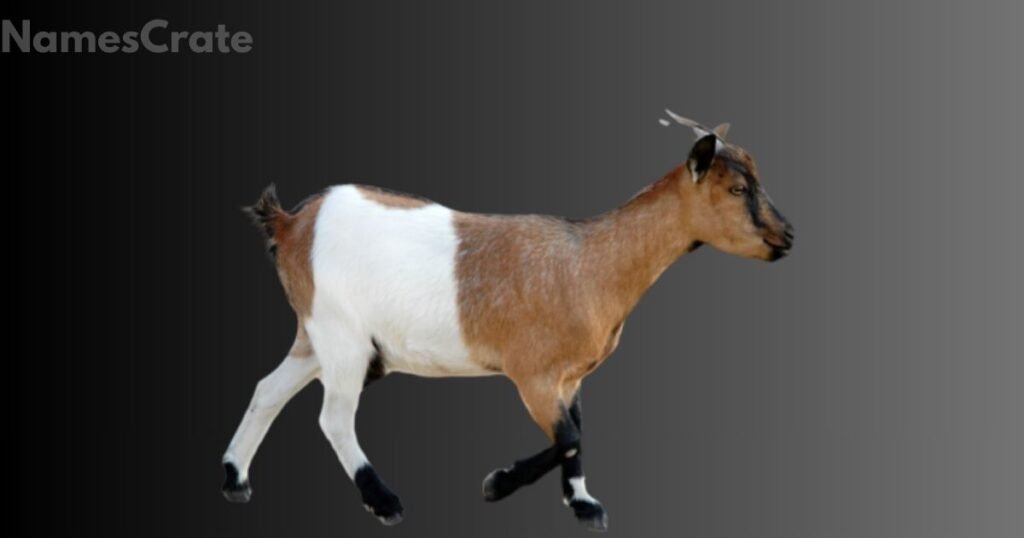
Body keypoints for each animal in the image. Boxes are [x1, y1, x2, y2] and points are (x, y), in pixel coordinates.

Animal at [221, 113, 794, 531]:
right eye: (737, 190)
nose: (787, 236)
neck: (589, 264)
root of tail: (292, 223)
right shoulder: (533, 375)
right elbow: (569, 436)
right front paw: (498, 483)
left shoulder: (569, 377)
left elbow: (577, 433)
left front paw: (583, 502)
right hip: (342, 335)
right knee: (334, 417)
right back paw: (384, 501)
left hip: (315, 332)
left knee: (267, 390)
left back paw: (235, 479)